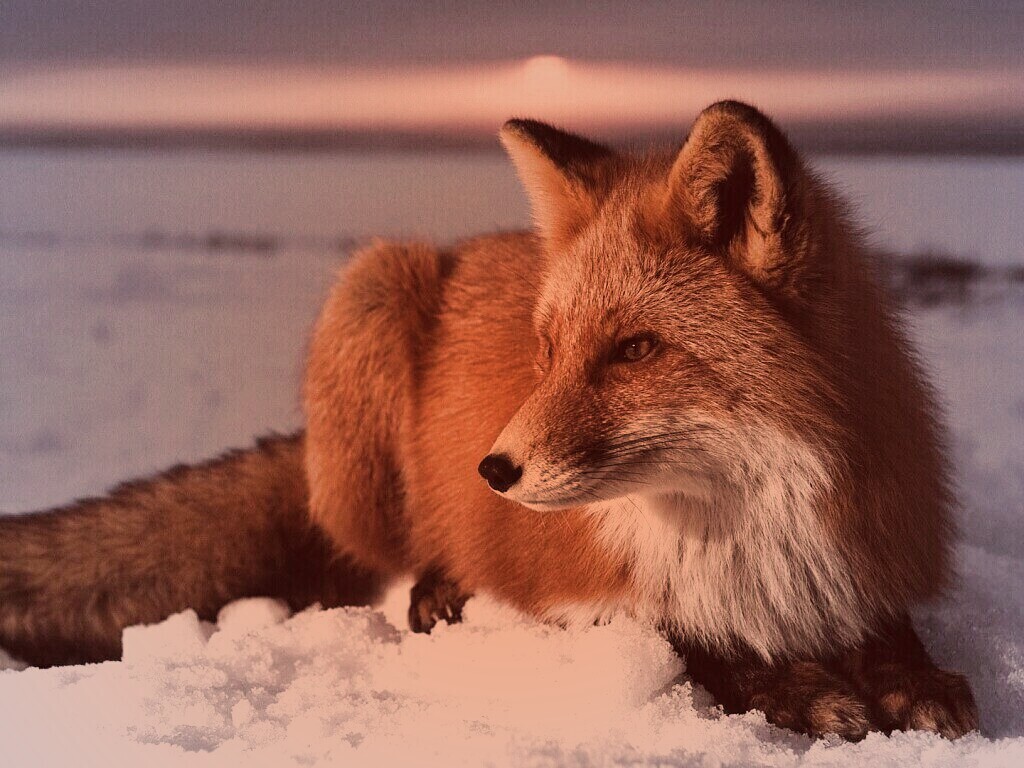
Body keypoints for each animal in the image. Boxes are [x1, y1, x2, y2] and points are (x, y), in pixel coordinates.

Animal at [0, 101, 977, 740]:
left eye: (635, 349)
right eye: (547, 350)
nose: (493, 471)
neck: (748, 534)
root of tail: (471, 245)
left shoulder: (862, 555)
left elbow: (892, 630)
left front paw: (912, 679)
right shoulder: (575, 591)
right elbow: (691, 642)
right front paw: (800, 688)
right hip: (371, 294)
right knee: (392, 555)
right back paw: (438, 587)